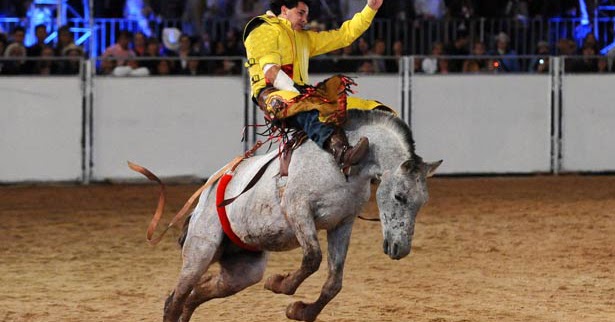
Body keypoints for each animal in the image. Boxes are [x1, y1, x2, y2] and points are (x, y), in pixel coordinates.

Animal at [164, 109, 442, 320]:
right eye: (399, 196)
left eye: (422, 202)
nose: (400, 249)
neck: (344, 164)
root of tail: (205, 197)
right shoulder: (297, 210)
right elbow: (312, 258)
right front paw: (279, 283)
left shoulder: (342, 223)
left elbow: (334, 281)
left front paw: (301, 311)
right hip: (200, 252)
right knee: (175, 299)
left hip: (242, 271)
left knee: (196, 294)